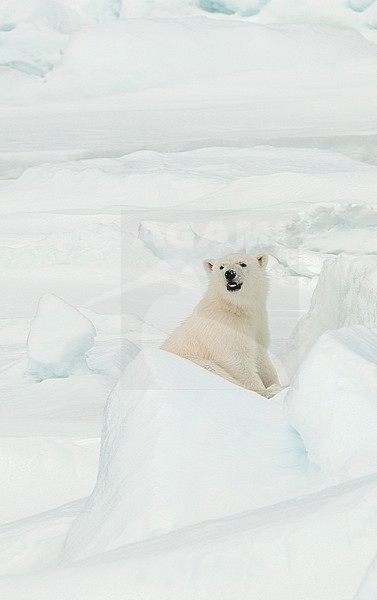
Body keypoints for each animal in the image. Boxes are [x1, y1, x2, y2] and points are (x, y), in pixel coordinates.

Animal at [160, 253, 280, 398]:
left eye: (243, 264)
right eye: (221, 267)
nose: (230, 273)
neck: (233, 308)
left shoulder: (258, 325)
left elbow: (261, 356)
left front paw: (276, 383)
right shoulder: (225, 327)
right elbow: (237, 360)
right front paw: (266, 390)